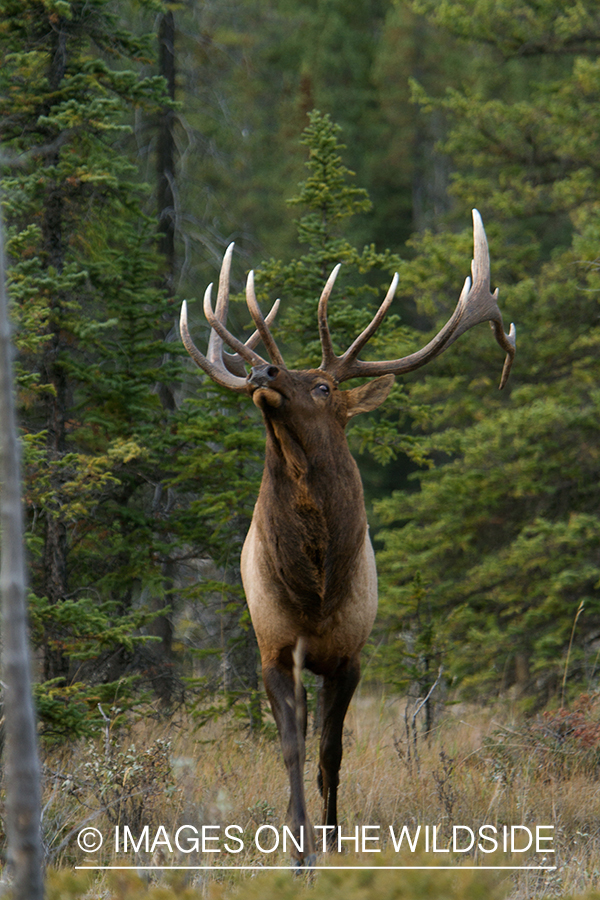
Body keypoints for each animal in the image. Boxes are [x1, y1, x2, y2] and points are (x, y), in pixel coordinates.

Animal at [179, 209, 516, 864]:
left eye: (324, 387)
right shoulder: (273, 649)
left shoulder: (350, 655)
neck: (315, 584)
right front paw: (298, 847)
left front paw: (333, 840)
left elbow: (332, 754)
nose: (261, 369)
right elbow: (292, 749)